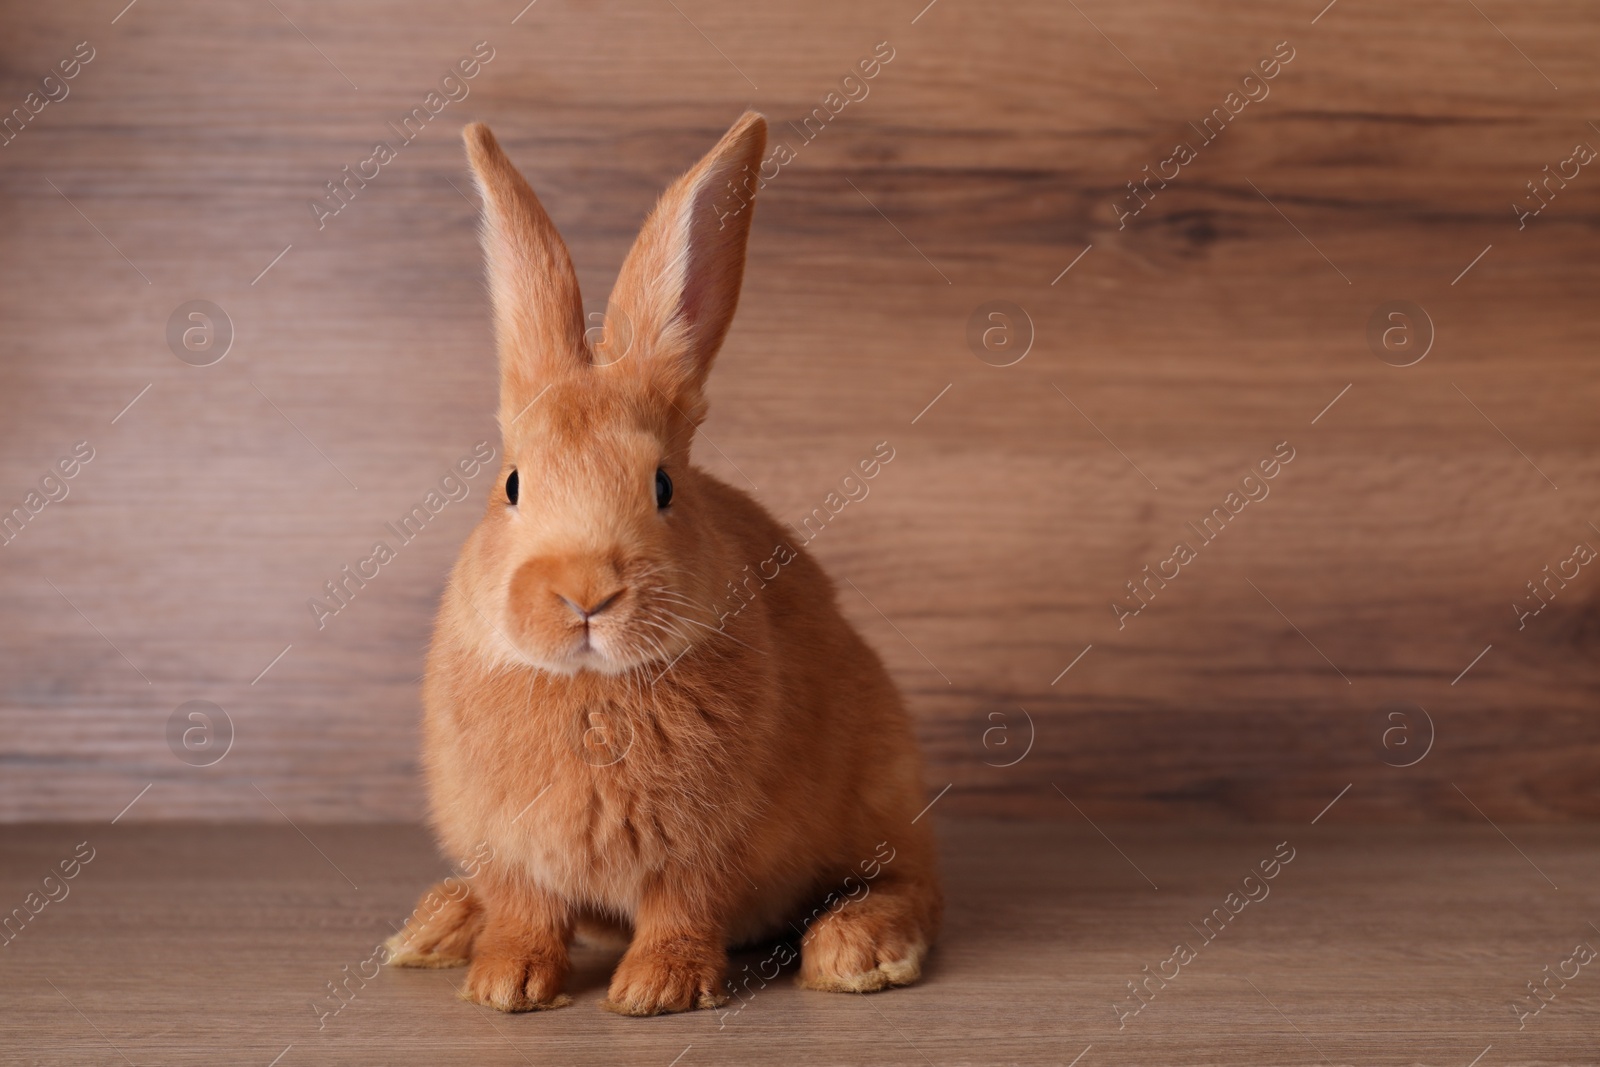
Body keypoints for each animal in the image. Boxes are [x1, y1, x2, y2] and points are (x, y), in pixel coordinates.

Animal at [382, 110, 940, 1017]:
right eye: (511, 484)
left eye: (664, 485)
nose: (585, 593)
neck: (590, 687)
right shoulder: (510, 847)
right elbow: (525, 910)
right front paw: (505, 983)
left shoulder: (706, 847)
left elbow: (681, 907)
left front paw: (655, 990)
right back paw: (436, 927)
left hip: (879, 793)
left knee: (912, 885)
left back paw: (857, 951)